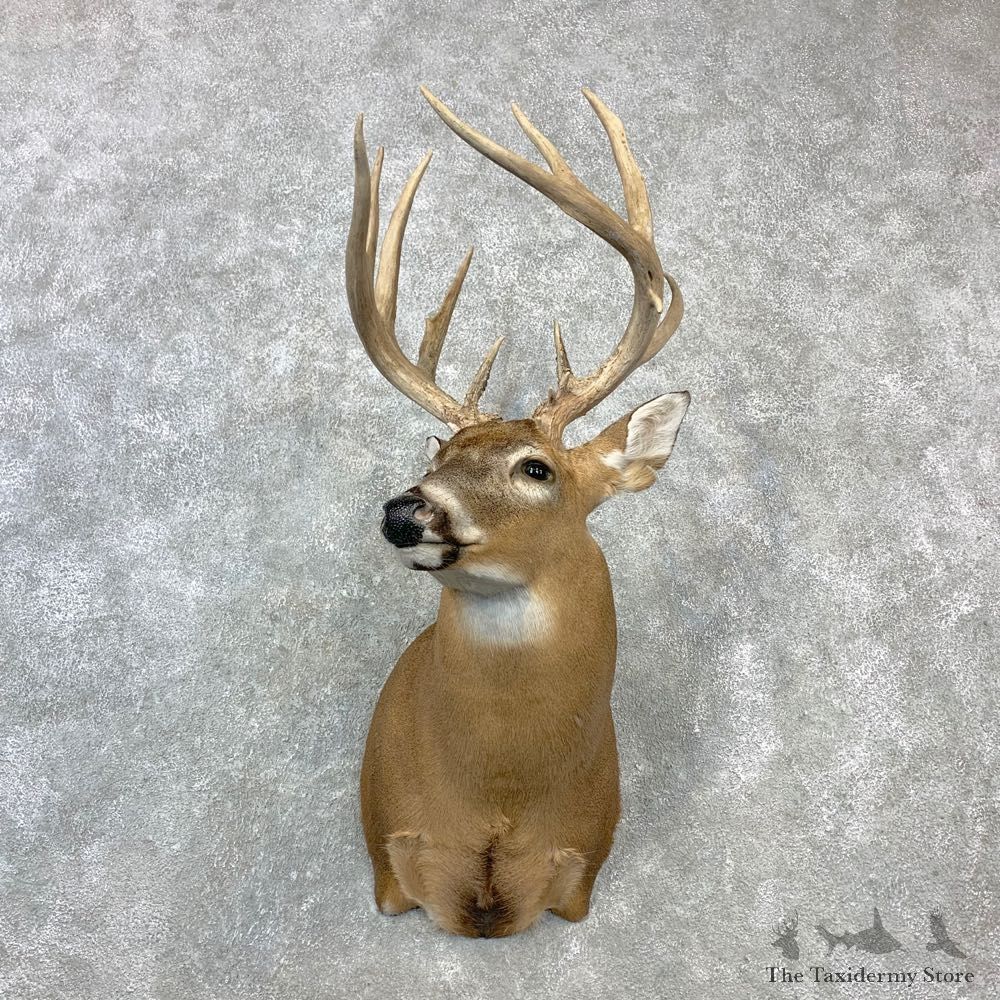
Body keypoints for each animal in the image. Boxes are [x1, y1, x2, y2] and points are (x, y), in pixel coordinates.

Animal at [345, 86, 690, 938]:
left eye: (537, 468)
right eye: (436, 457)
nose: (406, 510)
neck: (501, 798)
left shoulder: (581, 874)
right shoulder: (390, 867)